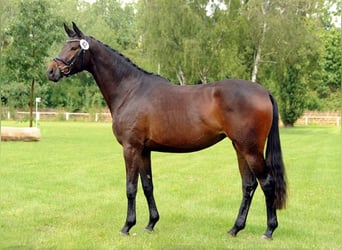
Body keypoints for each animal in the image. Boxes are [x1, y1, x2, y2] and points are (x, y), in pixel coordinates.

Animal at [46, 23, 288, 240]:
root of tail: (264, 91)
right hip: (240, 148)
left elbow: (131, 187)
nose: (51, 71)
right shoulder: (144, 150)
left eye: (74, 48)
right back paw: (235, 229)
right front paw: (151, 223)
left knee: (267, 184)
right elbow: (147, 185)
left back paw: (269, 231)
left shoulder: (130, 148)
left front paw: (127, 226)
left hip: (251, 150)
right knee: (249, 185)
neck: (130, 90)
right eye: (64, 45)